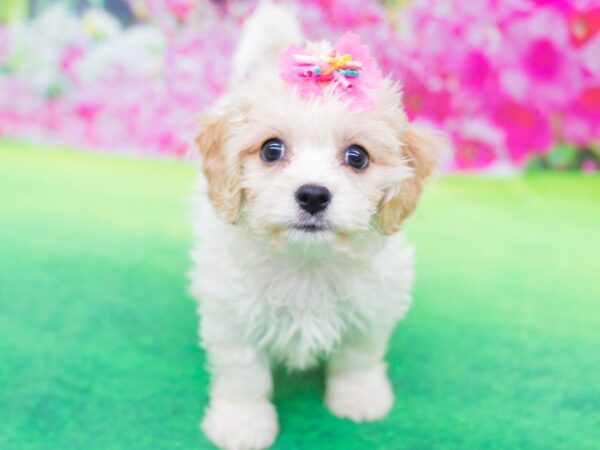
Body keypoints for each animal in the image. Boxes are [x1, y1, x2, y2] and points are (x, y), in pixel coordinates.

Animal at [190, 1, 438, 448]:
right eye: (272, 150)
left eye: (357, 156)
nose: (313, 195)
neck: (307, 262)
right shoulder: (231, 313)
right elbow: (242, 375)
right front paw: (241, 425)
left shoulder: (374, 304)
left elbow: (359, 357)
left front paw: (359, 400)